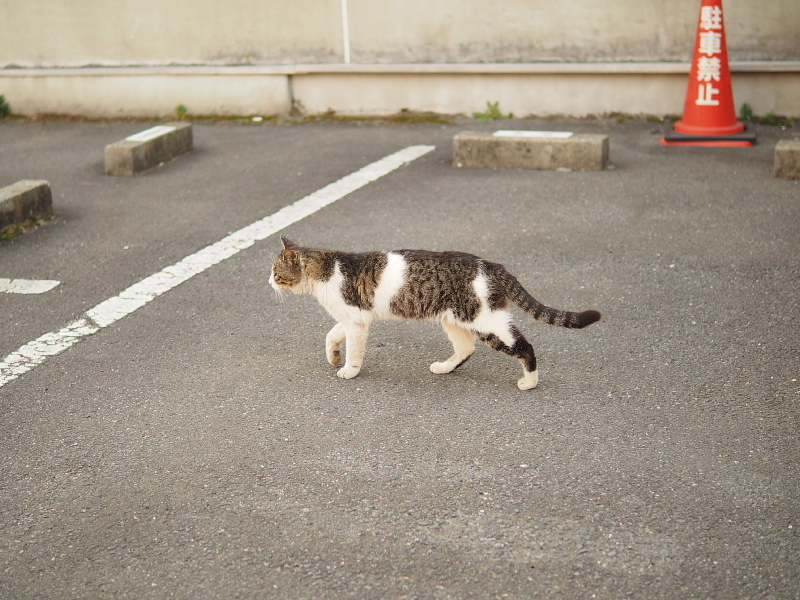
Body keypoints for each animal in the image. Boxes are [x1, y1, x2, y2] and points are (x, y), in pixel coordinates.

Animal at [270, 237, 600, 392]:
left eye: (275, 271)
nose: (268, 282)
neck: (325, 271)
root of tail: (493, 265)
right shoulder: (353, 318)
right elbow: (331, 335)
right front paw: (333, 356)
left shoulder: (357, 320)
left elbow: (353, 350)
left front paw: (348, 369)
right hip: (453, 318)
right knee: (466, 349)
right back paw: (444, 368)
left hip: (485, 320)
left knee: (524, 346)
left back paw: (529, 382)